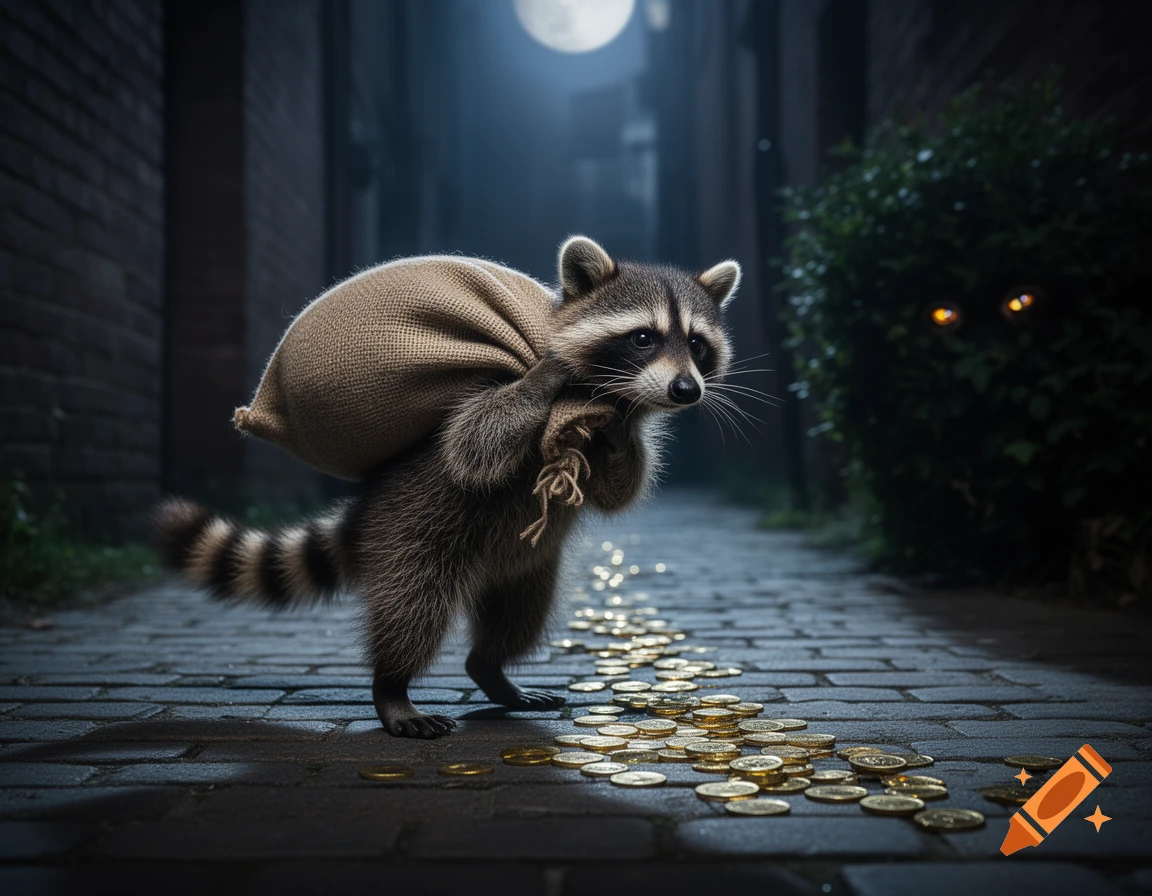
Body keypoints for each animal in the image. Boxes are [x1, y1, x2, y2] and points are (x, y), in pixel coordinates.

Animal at [156, 237, 740, 738]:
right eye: (643, 337)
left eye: (697, 345)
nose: (686, 390)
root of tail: (368, 506)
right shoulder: (484, 391)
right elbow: (473, 444)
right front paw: (544, 374)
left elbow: (616, 489)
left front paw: (619, 435)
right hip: (411, 530)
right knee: (413, 605)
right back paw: (392, 686)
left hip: (525, 565)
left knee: (519, 614)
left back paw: (490, 669)